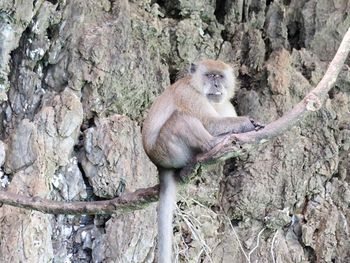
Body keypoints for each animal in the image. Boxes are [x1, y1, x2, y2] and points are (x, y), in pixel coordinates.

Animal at [141, 59, 258, 263]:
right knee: (181, 118)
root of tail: (158, 164)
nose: (216, 85)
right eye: (210, 75)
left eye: (220, 76)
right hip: (167, 150)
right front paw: (247, 123)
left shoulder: (226, 105)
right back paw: (212, 144)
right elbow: (210, 123)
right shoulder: (189, 94)